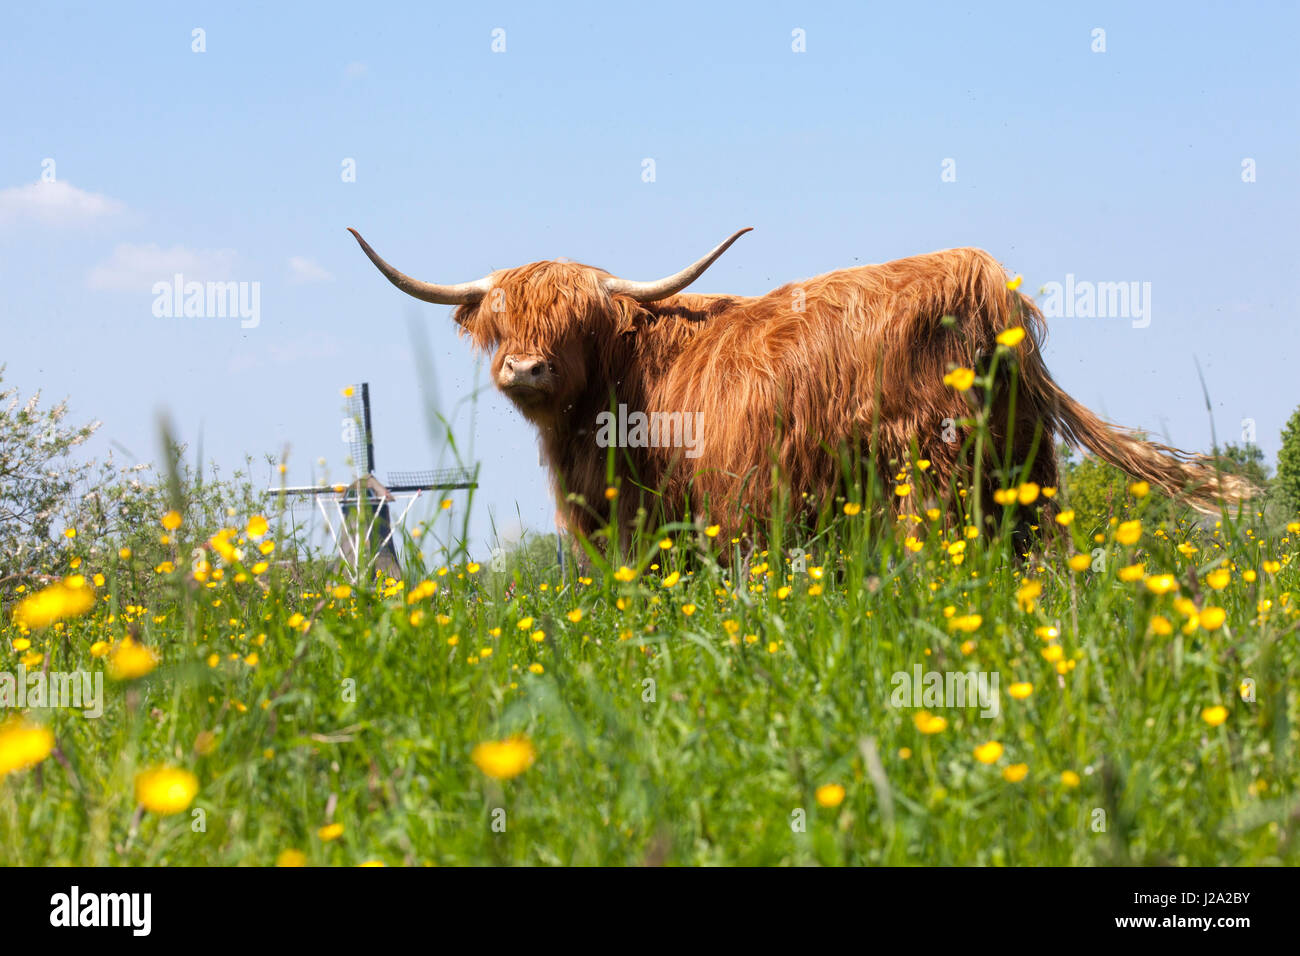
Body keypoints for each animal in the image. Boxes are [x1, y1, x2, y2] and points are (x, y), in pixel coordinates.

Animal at [351, 227, 1253, 548]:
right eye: (501, 323)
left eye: (578, 321)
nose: (526, 369)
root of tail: (978, 275)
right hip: (1025, 475)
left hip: (927, 473)